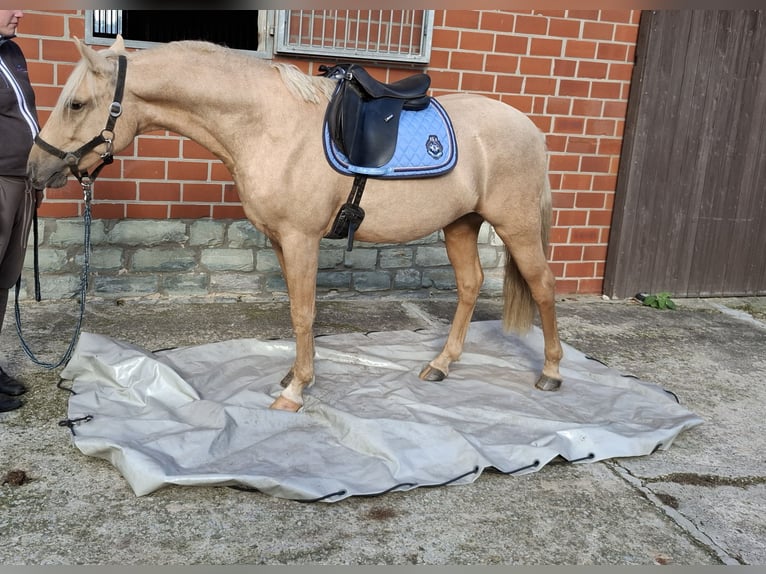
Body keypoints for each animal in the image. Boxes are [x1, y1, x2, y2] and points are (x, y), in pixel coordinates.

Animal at [28, 37, 564, 414]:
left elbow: (305, 313)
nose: (35, 170)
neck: (269, 125)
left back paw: (552, 372)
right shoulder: (280, 241)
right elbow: (294, 311)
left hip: (514, 226)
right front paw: (291, 376)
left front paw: (296, 392)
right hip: (460, 224)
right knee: (471, 285)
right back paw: (440, 365)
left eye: (75, 104)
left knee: (542, 285)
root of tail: (530, 128)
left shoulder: (301, 238)